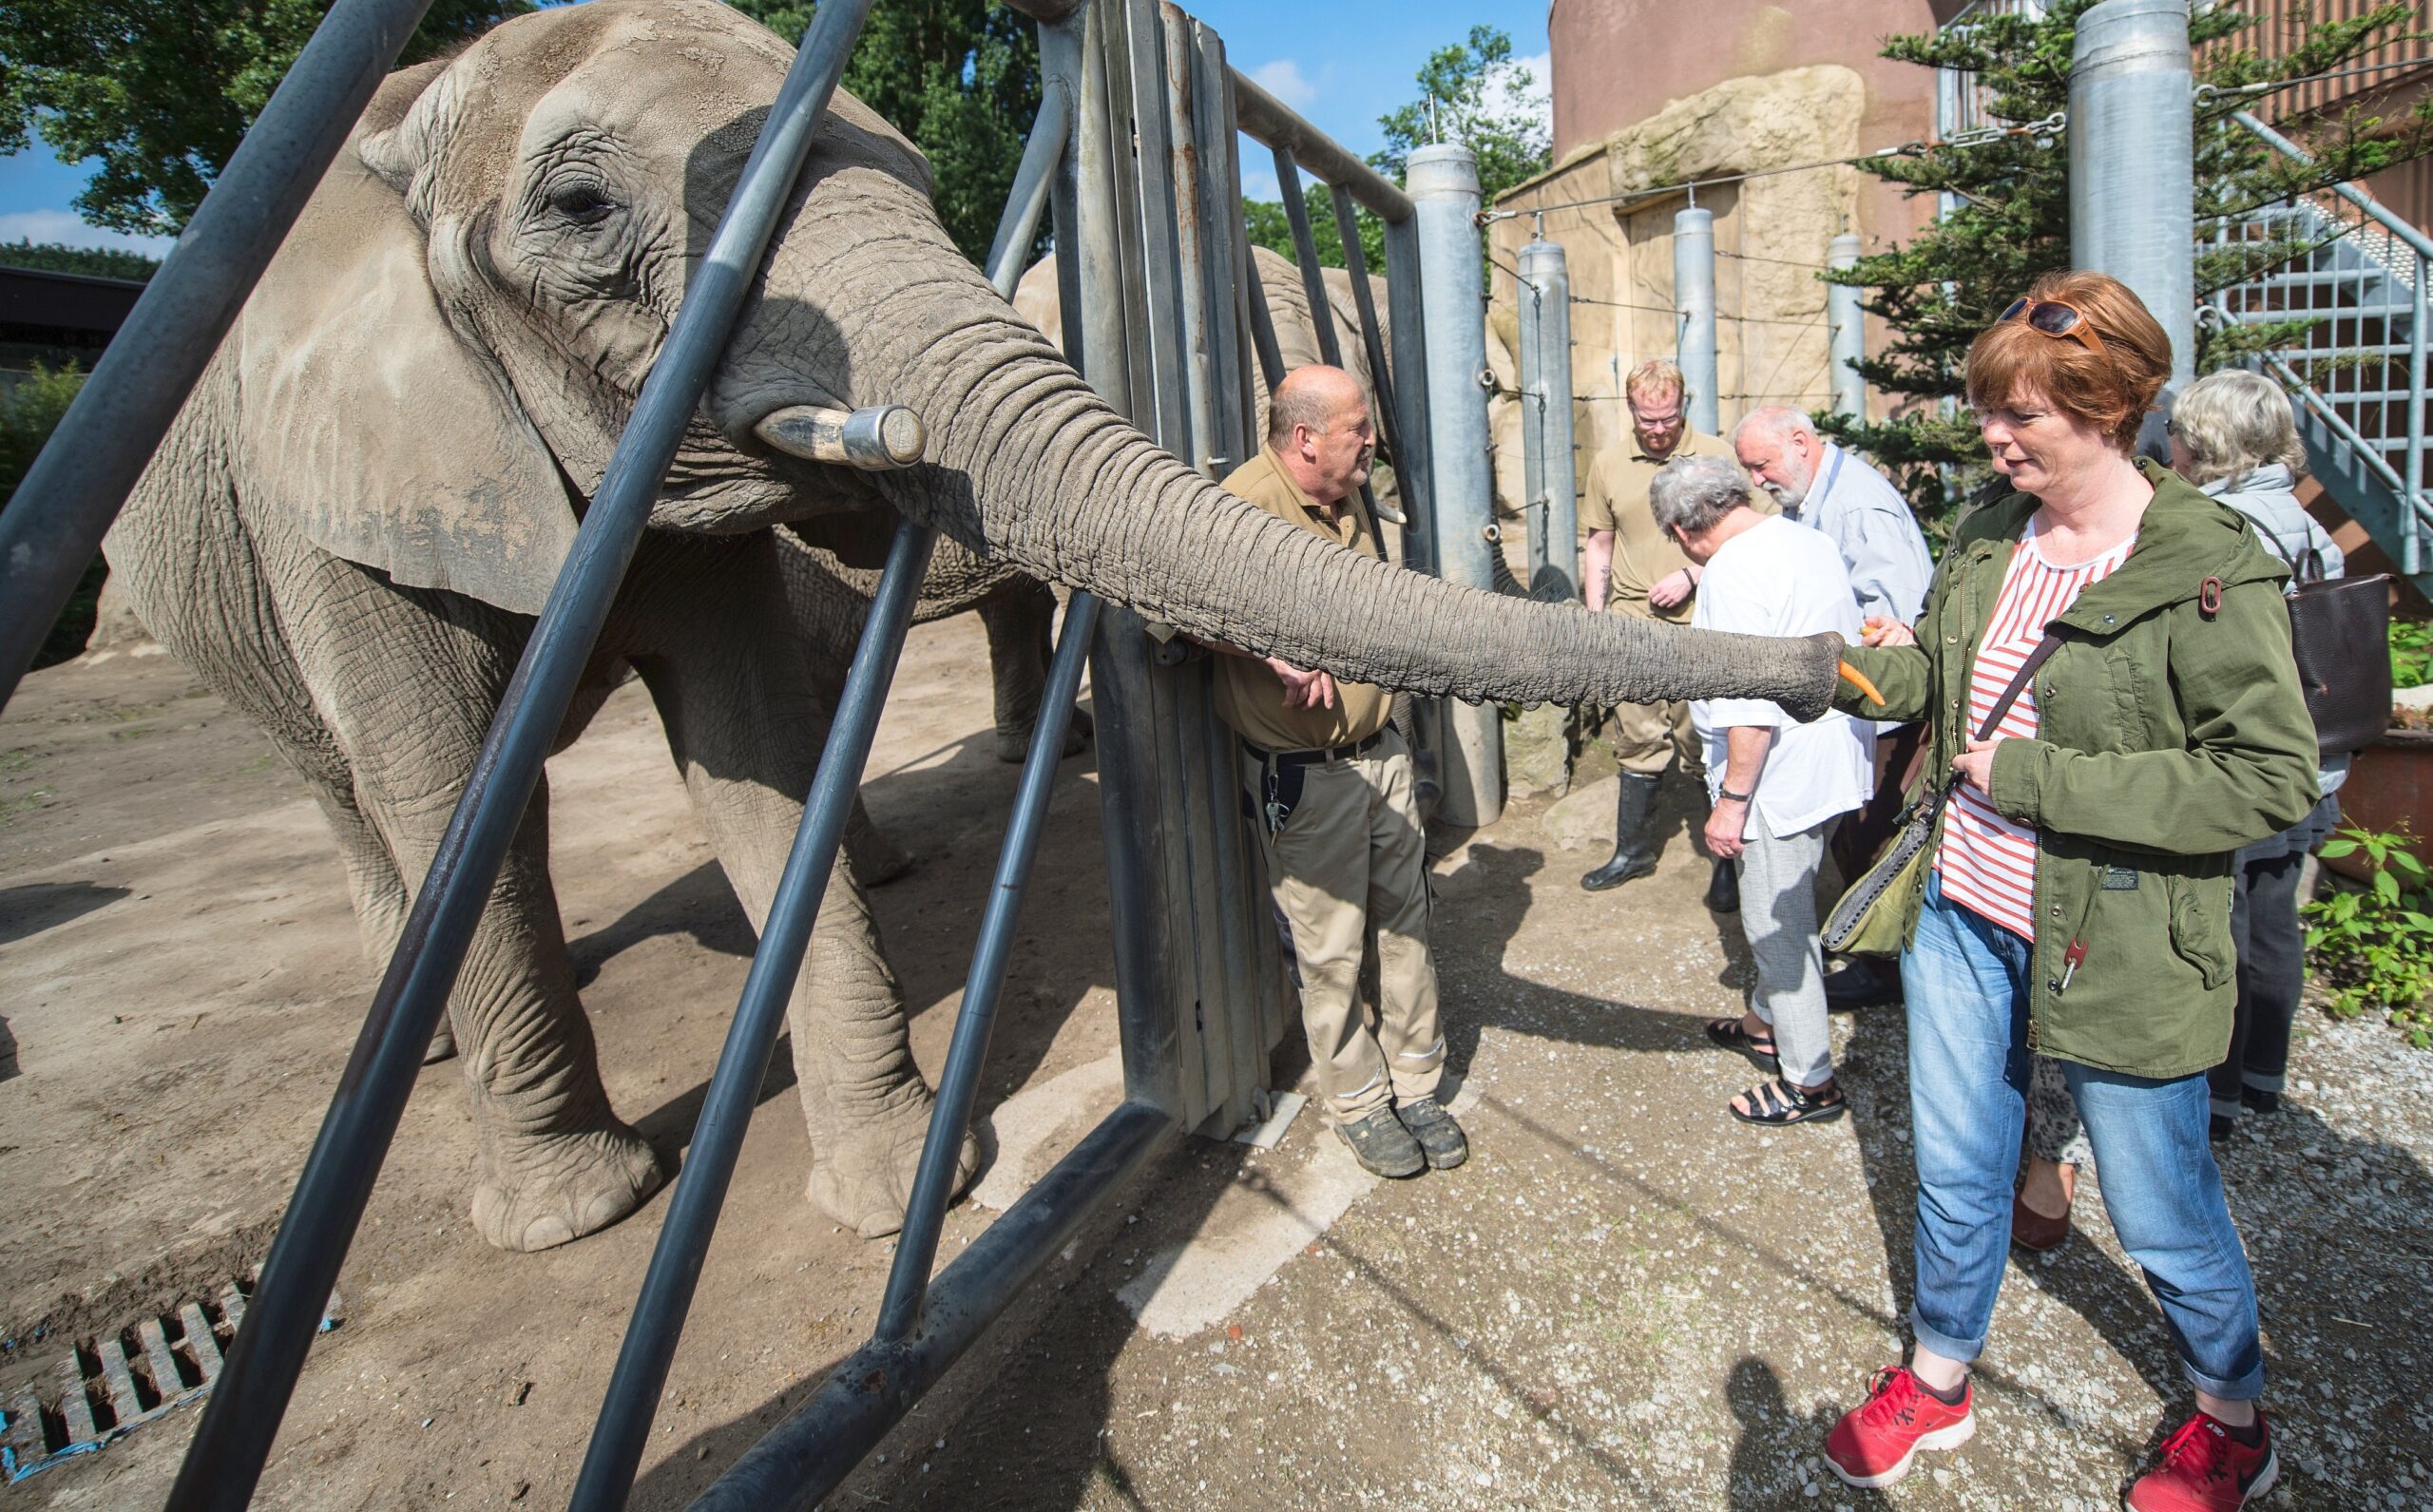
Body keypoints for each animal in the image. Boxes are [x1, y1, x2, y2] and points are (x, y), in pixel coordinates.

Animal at [99, 0, 1839, 1246]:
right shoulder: (337, 479)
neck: (418, 113)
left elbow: (749, 748)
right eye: (581, 208)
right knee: (360, 787)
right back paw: (441, 1054)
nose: (1833, 667)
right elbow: (460, 782)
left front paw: (908, 1193)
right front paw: (585, 1219)